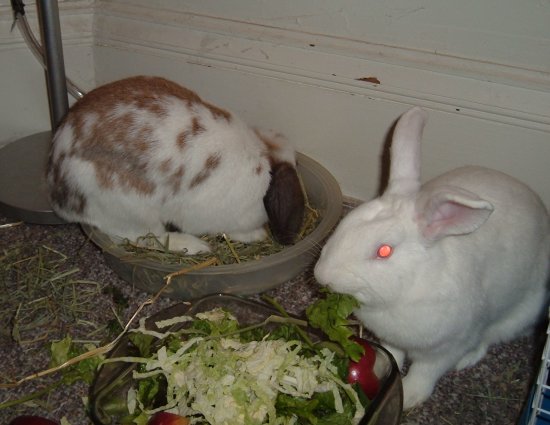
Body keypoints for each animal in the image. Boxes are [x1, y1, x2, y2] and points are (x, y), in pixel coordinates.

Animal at [314, 105, 550, 408]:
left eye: (384, 251)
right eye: (345, 224)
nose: (322, 275)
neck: (404, 292)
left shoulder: (446, 348)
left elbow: (425, 371)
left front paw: (408, 396)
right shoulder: (392, 339)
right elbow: (393, 355)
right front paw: (382, 370)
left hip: (516, 315)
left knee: (488, 338)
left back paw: (468, 360)